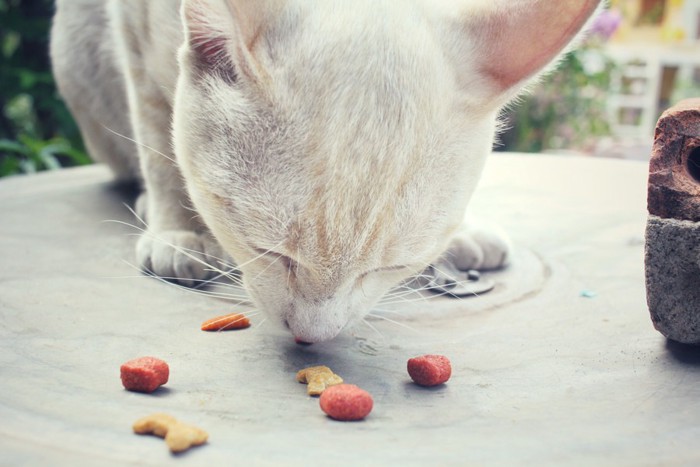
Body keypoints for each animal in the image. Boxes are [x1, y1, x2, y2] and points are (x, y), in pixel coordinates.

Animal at [52, 0, 600, 344]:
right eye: (266, 250)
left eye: (392, 267)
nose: (312, 335)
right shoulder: (132, 26)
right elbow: (151, 124)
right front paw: (178, 226)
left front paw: (463, 232)